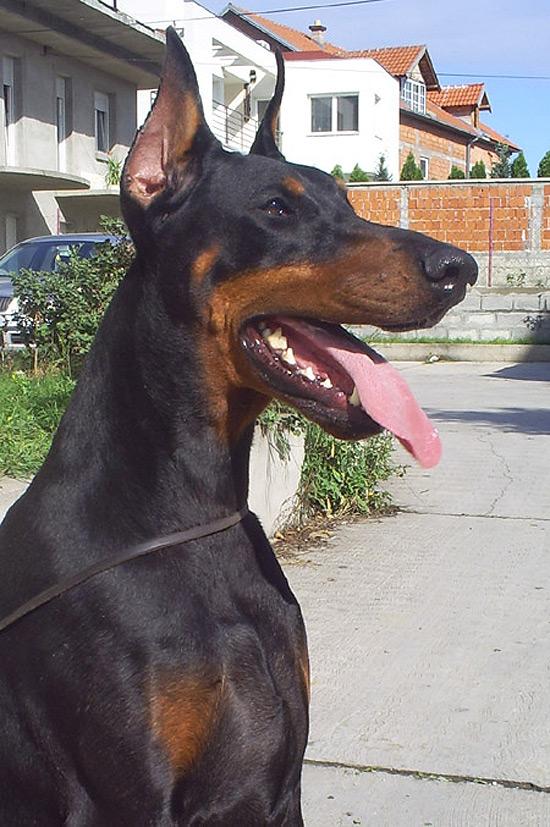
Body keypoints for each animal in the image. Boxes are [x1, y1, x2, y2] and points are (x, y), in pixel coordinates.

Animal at [0, 29, 477, 825]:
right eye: (276, 209)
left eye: (347, 201)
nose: (460, 267)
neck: (197, 513)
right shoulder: (131, 799)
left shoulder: (281, 785)